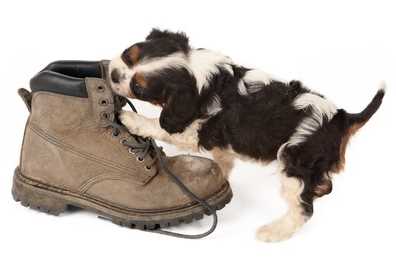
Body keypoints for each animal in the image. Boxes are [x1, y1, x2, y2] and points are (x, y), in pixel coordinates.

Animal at [107, 28, 384, 241]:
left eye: (139, 88)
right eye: (127, 54)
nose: (113, 74)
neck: (201, 77)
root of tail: (341, 117)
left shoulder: (197, 128)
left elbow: (161, 126)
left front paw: (131, 119)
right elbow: (223, 159)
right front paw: (219, 174)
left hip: (294, 163)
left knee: (303, 209)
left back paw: (274, 232)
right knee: (323, 185)